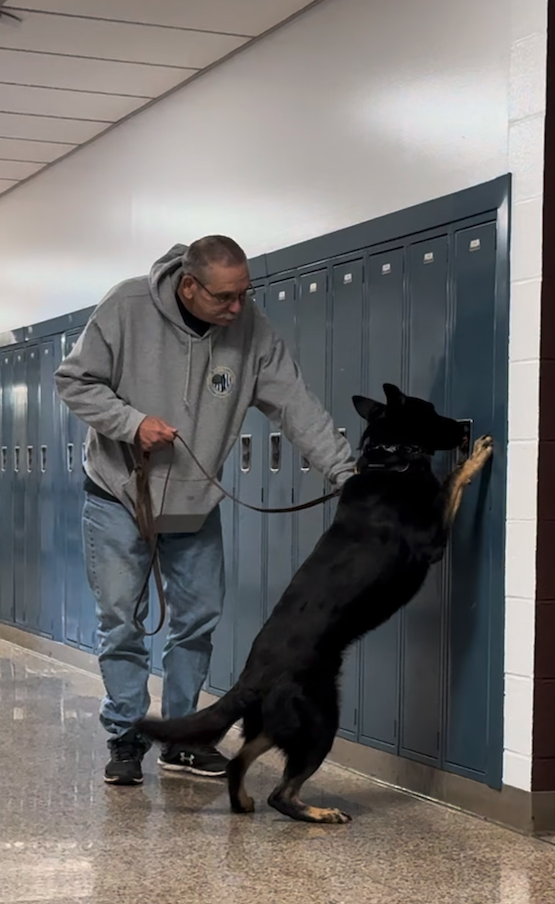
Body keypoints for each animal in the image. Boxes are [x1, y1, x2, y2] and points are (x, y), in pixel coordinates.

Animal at [140, 384, 496, 824]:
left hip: (282, 724)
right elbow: (451, 482)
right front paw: (474, 458)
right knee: (281, 792)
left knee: (241, 761)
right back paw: (318, 813)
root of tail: (250, 679)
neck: (389, 459)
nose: (463, 430)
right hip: (321, 720)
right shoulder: (433, 539)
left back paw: (243, 802)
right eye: (430, 412)